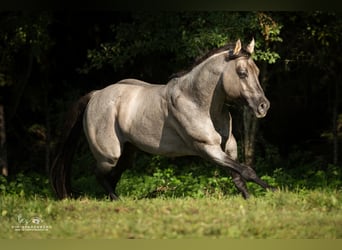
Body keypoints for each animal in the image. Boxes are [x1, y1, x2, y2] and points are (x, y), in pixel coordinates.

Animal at [50, 38, 272, 200]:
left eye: (257, 71)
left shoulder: (228, 146)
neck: (196, 101)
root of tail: (96, 95)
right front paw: (272, 190)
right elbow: (246, 170)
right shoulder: (207, 148)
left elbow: (238, 175)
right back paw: (115, 199)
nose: (263, 106)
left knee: (114, 174)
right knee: (98, 173)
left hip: (127, 152)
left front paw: (250, 199)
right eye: (242, 73)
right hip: (109, 155)